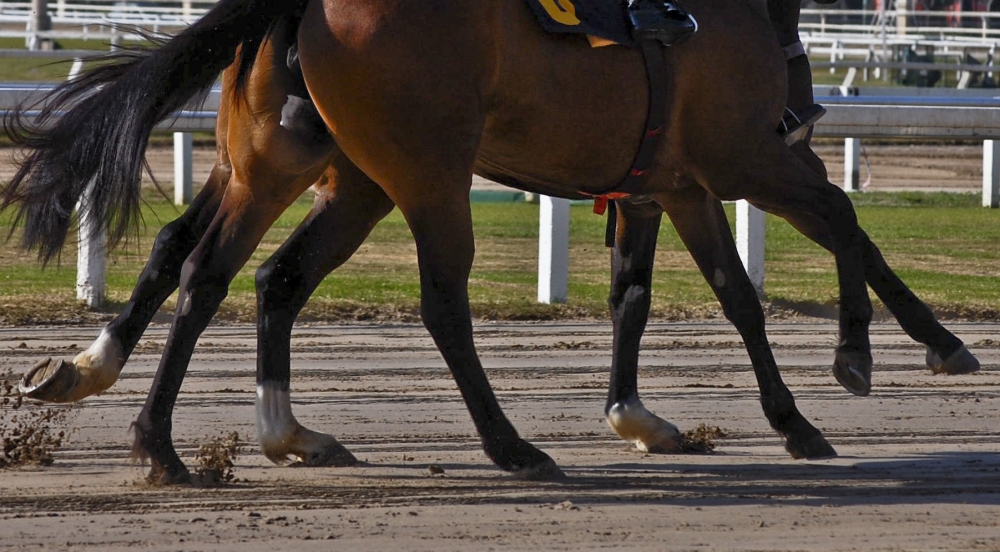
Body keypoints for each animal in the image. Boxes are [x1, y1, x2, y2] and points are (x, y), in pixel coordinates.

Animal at [0, 0, 976, 484]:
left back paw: (194, 434)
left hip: (304, 164)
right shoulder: (740, 156)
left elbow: (671, 293)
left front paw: (645, 416)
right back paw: (511, 446)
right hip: (422, 172)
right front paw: (857, 362)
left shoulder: (673, 181)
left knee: (224, 268)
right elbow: (839, 225)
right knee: (436, 302)